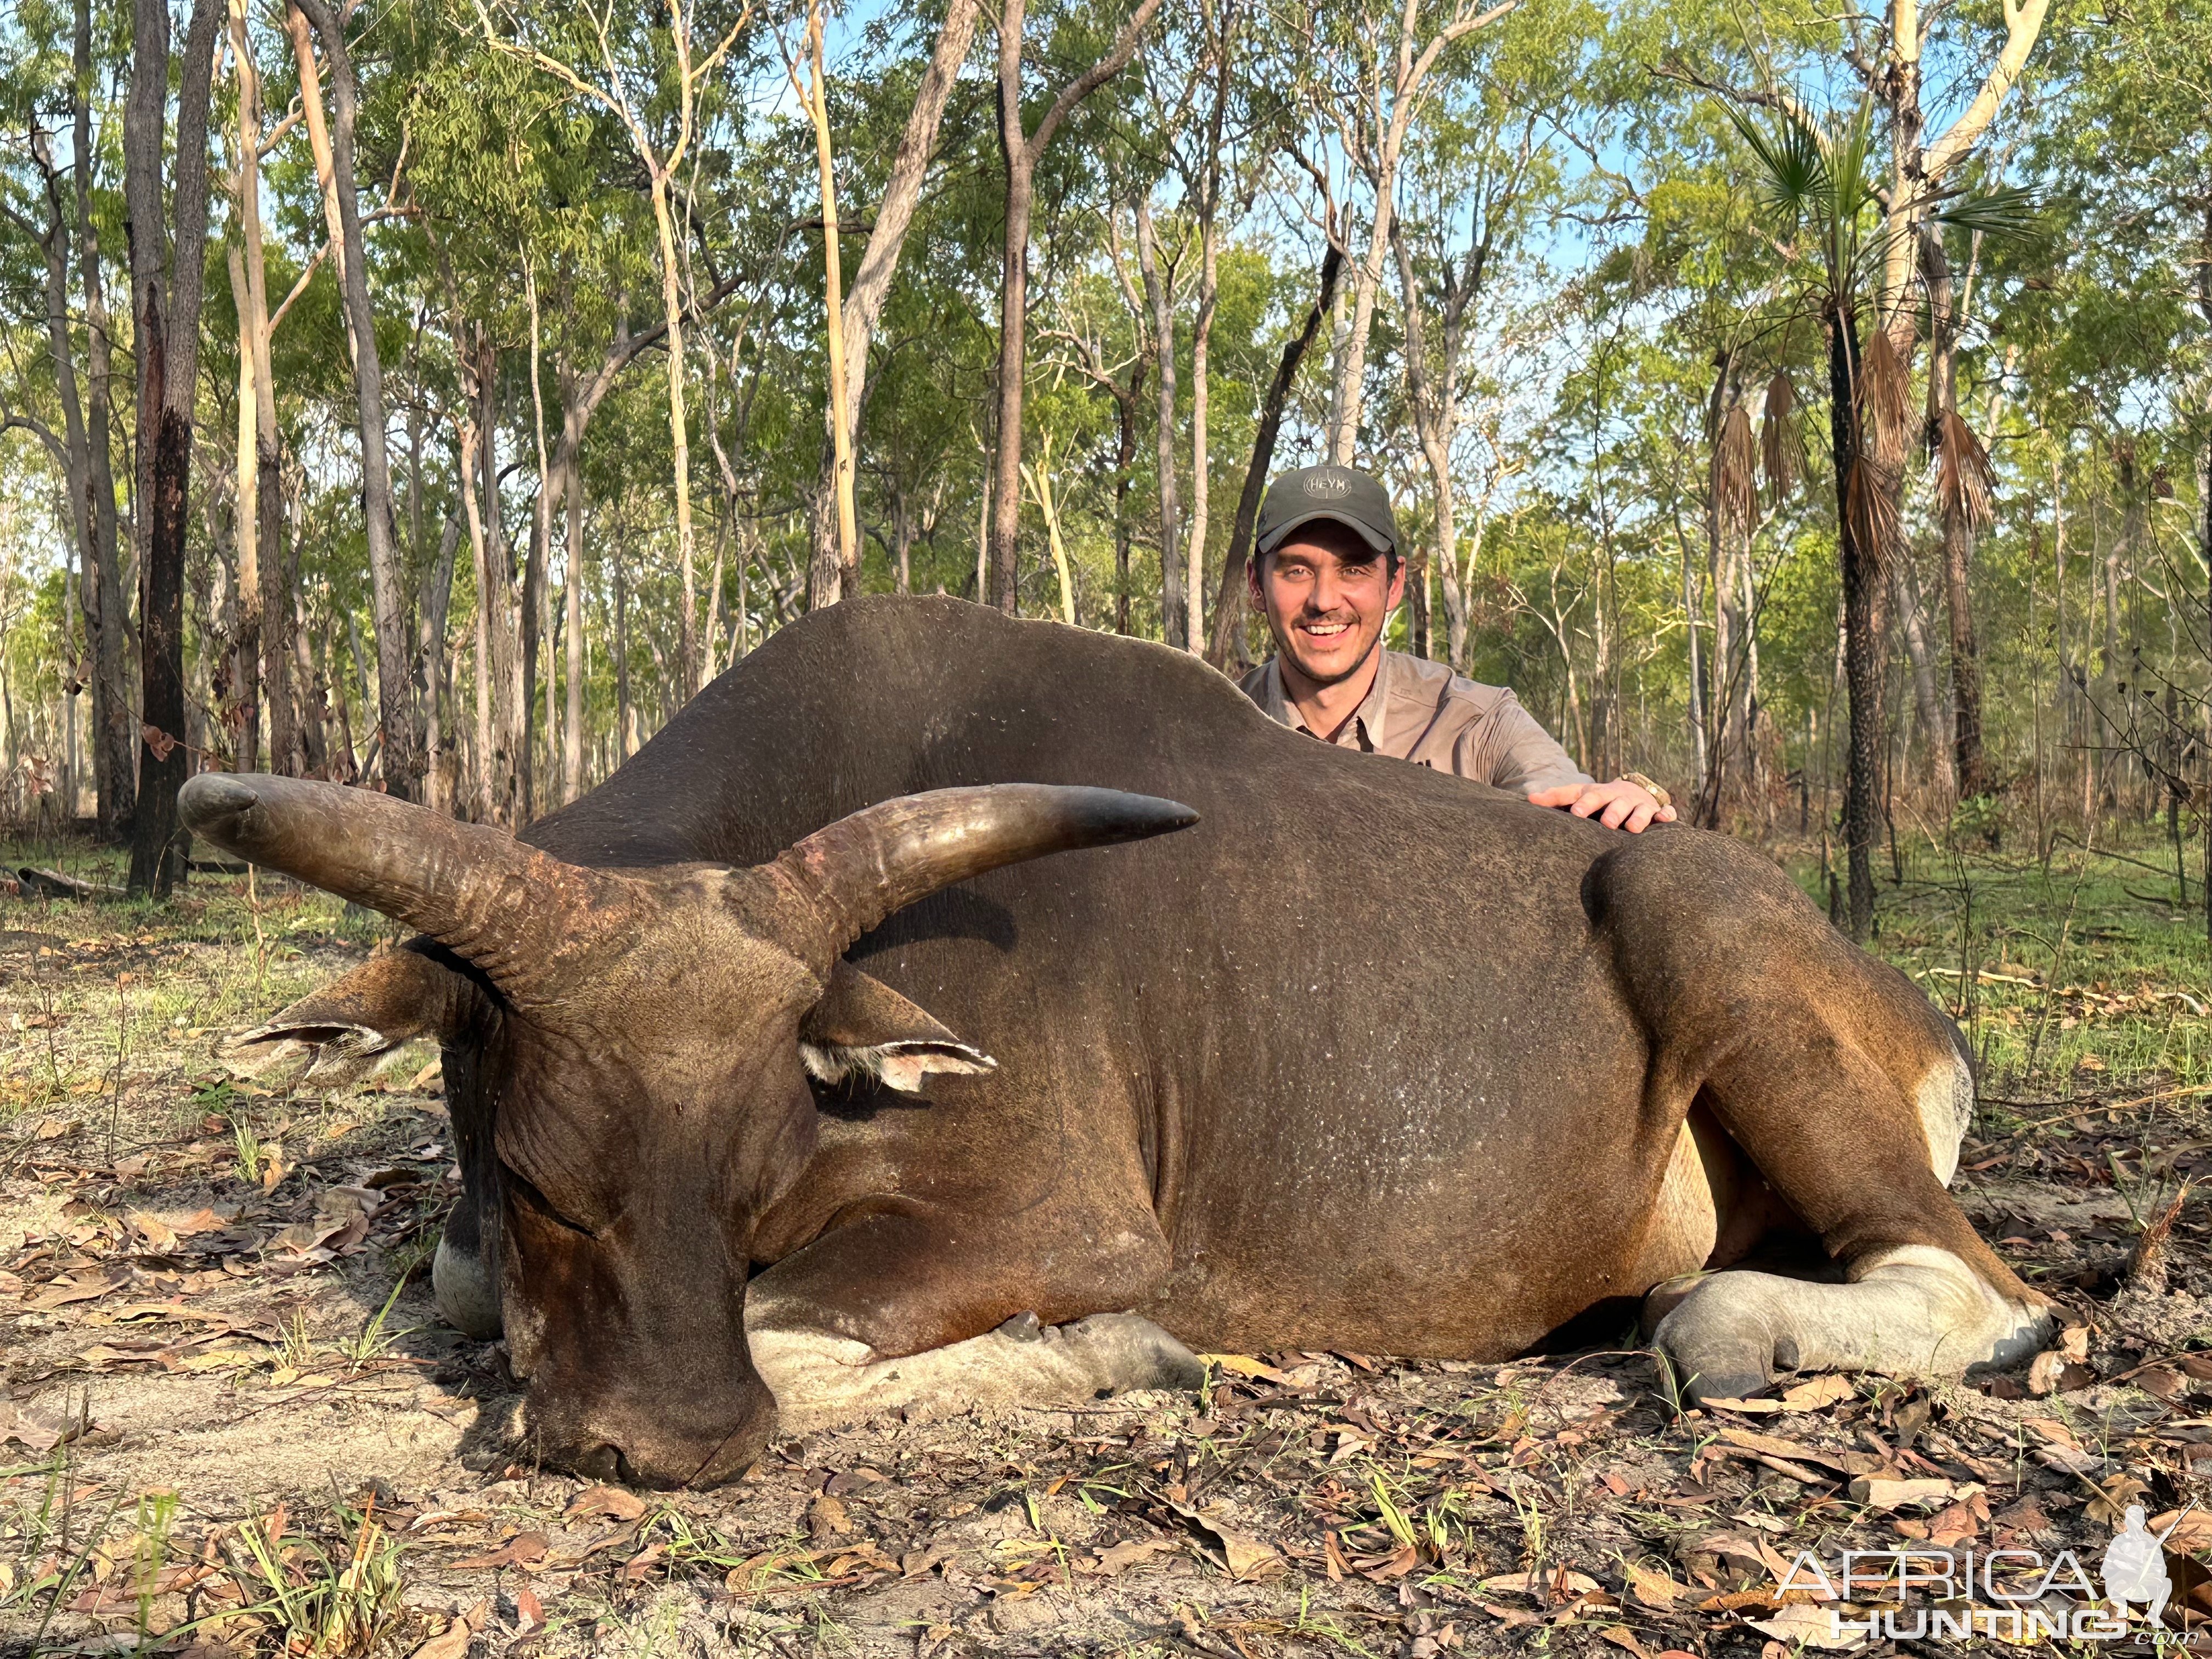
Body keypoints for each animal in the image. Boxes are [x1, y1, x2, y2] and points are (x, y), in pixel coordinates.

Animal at [181, 597, 2044, 1495]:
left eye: (753, 1161)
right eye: (536, 1174)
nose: (673, 1439)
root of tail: (1925, 1021)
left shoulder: (1062, 1219)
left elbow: (795, 1333)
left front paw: (1115, 1357)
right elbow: (460, 1283)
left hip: (1688, 908)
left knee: (1987, 1296)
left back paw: (1722, 1323)